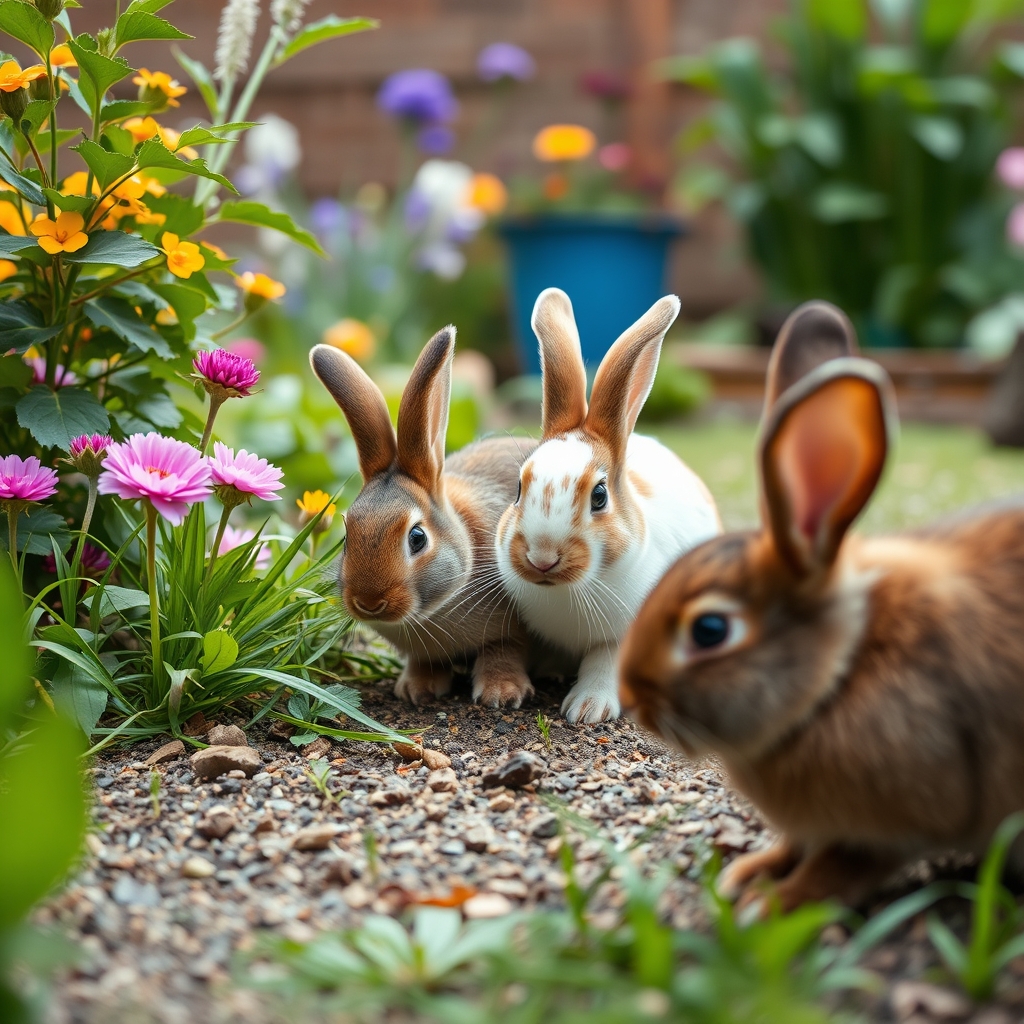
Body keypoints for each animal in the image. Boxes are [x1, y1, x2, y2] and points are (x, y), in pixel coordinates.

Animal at [310, 325, 536, 709]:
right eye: (346, 537)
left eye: (417, 538)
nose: (369, 603)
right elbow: (424, 662)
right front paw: (417, 689)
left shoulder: (512, 632)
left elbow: (504, 652)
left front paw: (501, 694)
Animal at [495, 288, 722, 725]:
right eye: (517, 488)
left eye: (599, 496)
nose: (541, 558)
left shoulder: (621, 637)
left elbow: (604, 664)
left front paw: (587, 710)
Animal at [618, 350, 1024, 911]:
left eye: (710, 630)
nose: (629, 696)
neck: (839, 675)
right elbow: (797, 845)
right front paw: (749, 873)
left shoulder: (900, 821)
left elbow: (839, 867)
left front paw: (769, 903)